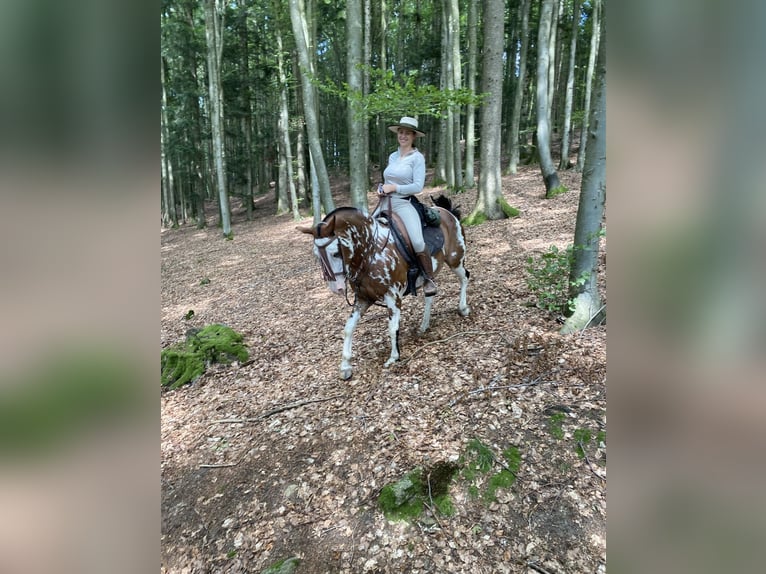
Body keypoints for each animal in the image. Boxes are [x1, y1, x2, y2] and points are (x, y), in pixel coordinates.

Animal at [297, 195, 470, 380]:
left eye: (336, 253)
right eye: (316, 256)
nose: (336, 288)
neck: (370, 251)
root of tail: (448, 212)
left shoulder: (393, 297)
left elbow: (392, 327)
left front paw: (394, 357)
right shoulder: (363, 299)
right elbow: (348, 328)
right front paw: (345, 366)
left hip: (455, 260)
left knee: (465, 278)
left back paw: (463, 308)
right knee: (430, 294)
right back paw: (424, 325)